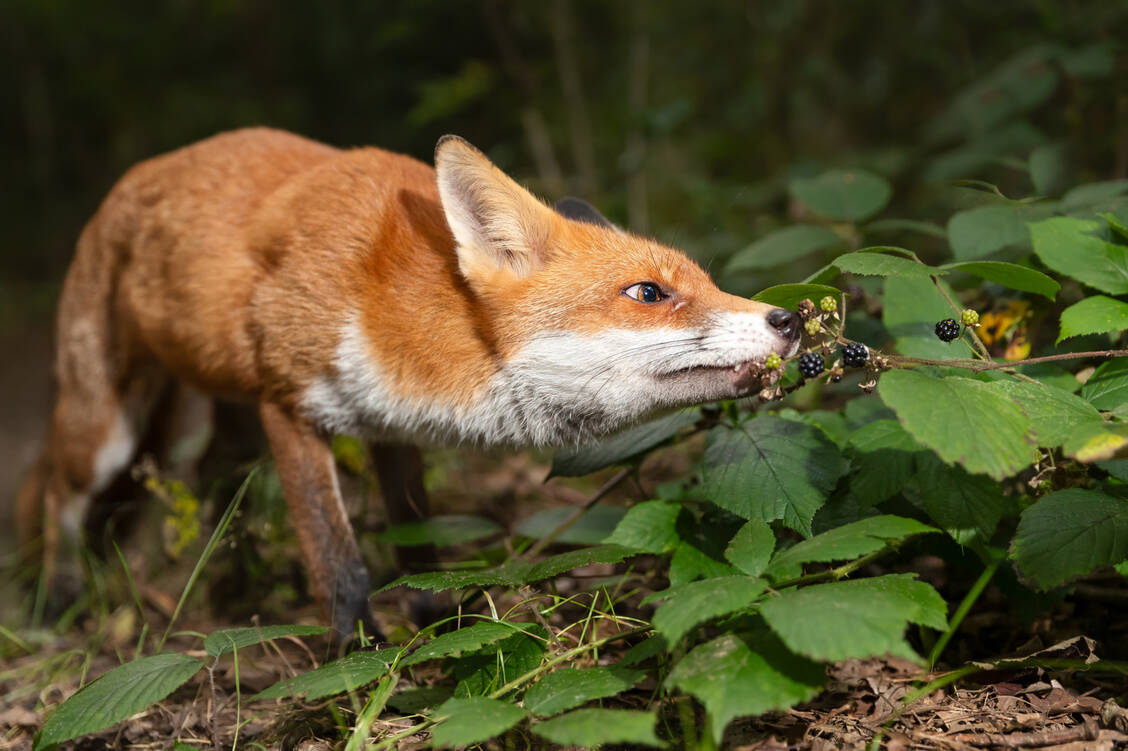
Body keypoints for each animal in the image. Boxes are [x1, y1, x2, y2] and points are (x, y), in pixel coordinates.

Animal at [16, 127, 801, 637]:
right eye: (648, 293)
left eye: (706, 282)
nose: (790, 319)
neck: (391, 303)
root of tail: (126, 183)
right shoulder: (288, 406)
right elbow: (342, 568)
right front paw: (357, 667)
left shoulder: (391, 427)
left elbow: (418, 551)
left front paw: (434, 630)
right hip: (108, 433)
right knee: (58, 494)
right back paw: (55, 607)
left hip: (204, 438)